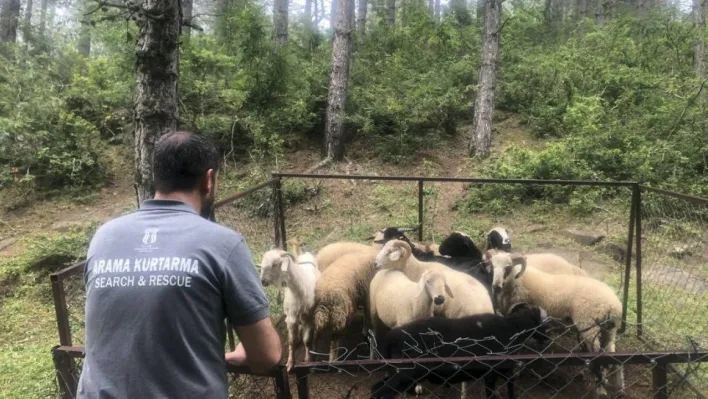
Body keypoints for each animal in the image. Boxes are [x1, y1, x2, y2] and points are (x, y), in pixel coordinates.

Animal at [258, 245, 320, 374]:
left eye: (275, 264)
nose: (263, 281)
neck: (299, 290)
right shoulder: (291, 318)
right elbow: (291, 341)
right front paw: (290, 363)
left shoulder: (308, 317)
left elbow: (307, 340)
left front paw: (308, 359)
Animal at [368, 304, 552, 399]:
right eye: (542, 320)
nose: (548, 336)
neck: (513, 328)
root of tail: (391, 337)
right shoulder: (495, 371)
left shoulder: (497, 373)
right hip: (406, 373)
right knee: (380, 392)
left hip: (398, 372)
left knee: (376, 388)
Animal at [490, 253, 624, 396]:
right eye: (493, 266)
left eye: (508, 267)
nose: (496, 287)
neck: (517, 281)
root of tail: (612, 305)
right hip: (609, 330)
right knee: (613, 356)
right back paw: (619, 387)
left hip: (589, 326)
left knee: (598, 358)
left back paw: (601, 390)